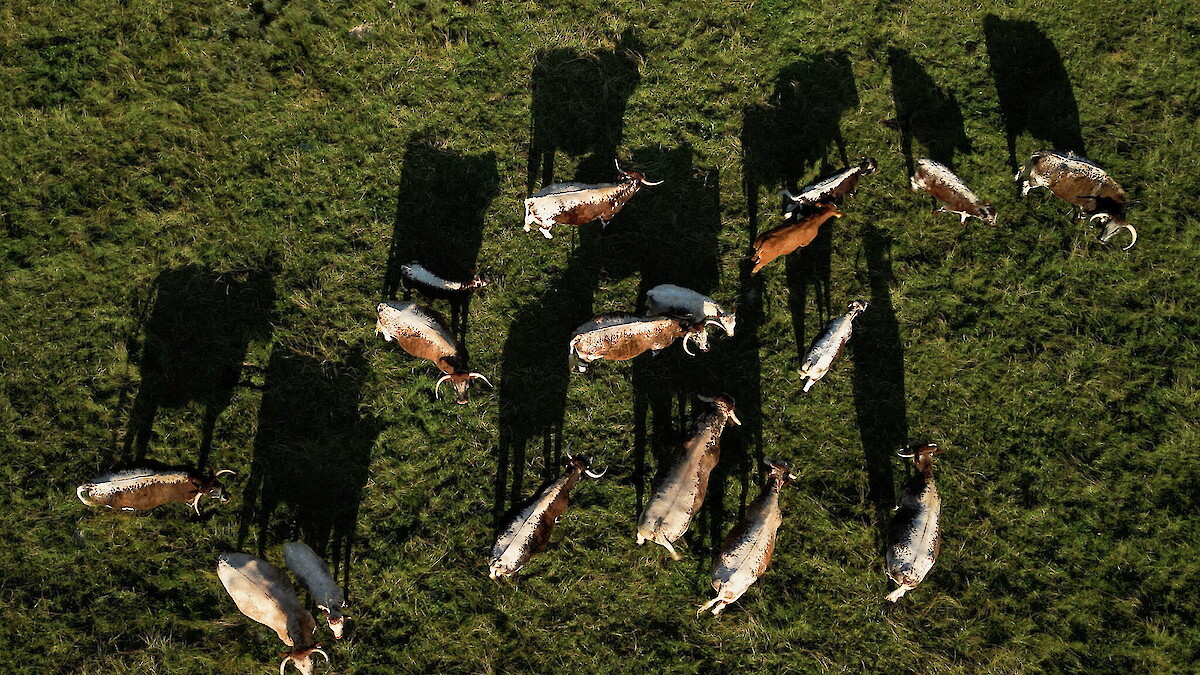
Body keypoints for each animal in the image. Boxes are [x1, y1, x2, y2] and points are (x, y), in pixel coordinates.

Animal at [523, 160, 662, 239]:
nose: (643, 174)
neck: (619, 190)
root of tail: (533, 200)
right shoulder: (608, 215)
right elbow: (605, 224)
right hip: (548, 222)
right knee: (542, 229)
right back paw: (549, 236)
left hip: (536, 216)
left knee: (528, 220)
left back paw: (527, 229)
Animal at [568, 313, 709, 374]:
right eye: (695, 336)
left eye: (706, 333)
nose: (706, 348)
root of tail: (578, 336)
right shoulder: (657, 346)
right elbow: (655, 355)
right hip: (586, 357)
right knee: (582, 366)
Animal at [699, 460, 796, 616]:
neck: (770, 500)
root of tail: (725, 587)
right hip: (732, 594)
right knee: (719, 605)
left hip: (725, 590)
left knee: (718, 605)